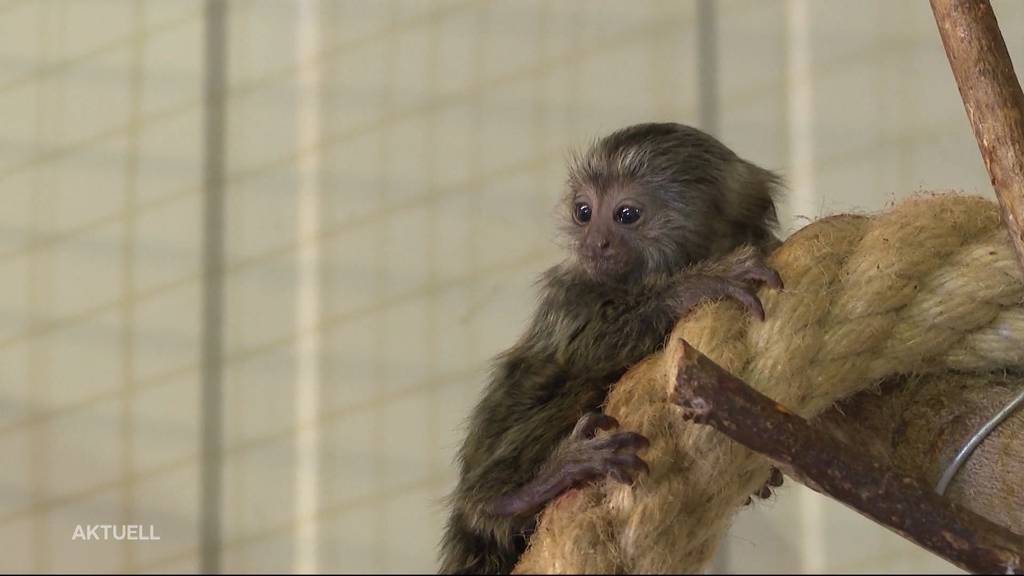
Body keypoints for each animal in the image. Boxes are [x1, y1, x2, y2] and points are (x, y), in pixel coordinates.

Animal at [438, 120, 782, 569]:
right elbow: (585, 347)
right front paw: (696, 285)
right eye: (583, 212)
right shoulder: (570, 291)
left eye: (626, 215)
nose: (595, 242)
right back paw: (522, 492)